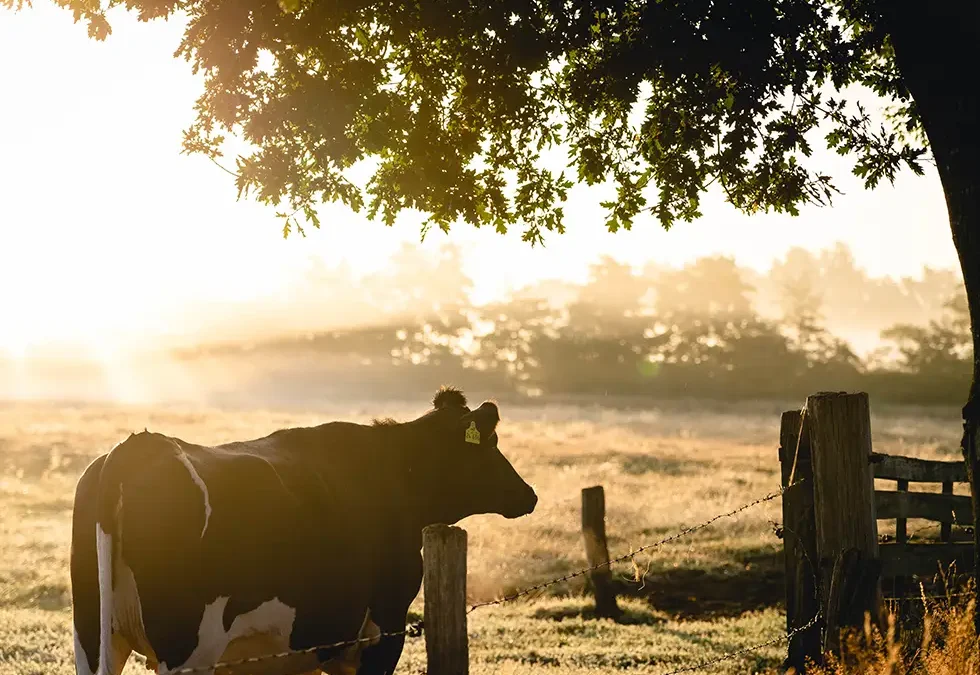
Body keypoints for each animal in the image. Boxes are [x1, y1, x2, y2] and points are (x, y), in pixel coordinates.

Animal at [71, 388, 536, 675]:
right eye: (491, 444)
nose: (528, 494)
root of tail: (138, 446)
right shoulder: (383, 629)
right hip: (188, 650)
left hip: (93, 638)